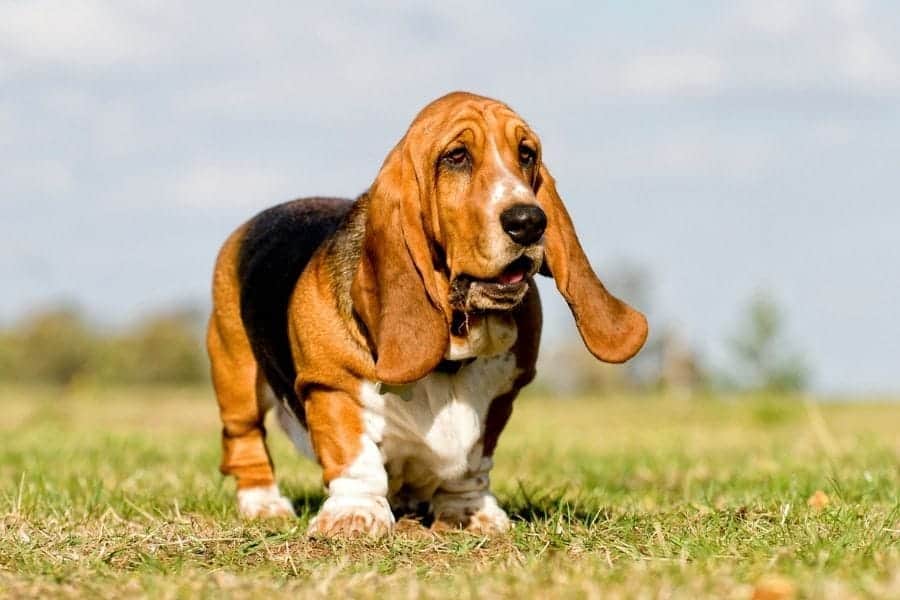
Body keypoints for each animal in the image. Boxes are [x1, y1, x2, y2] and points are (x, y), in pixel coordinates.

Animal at [209, 91, 648, 536]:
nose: (529, 221)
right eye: (456, 156)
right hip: (237, 373)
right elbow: (356, 458)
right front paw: (355, 515)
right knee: (245, 440)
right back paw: (264, 504)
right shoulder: (330, 384)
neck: (453, 353)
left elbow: (472, 462)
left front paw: (470, 514)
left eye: (526, 154)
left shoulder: (501, 398)